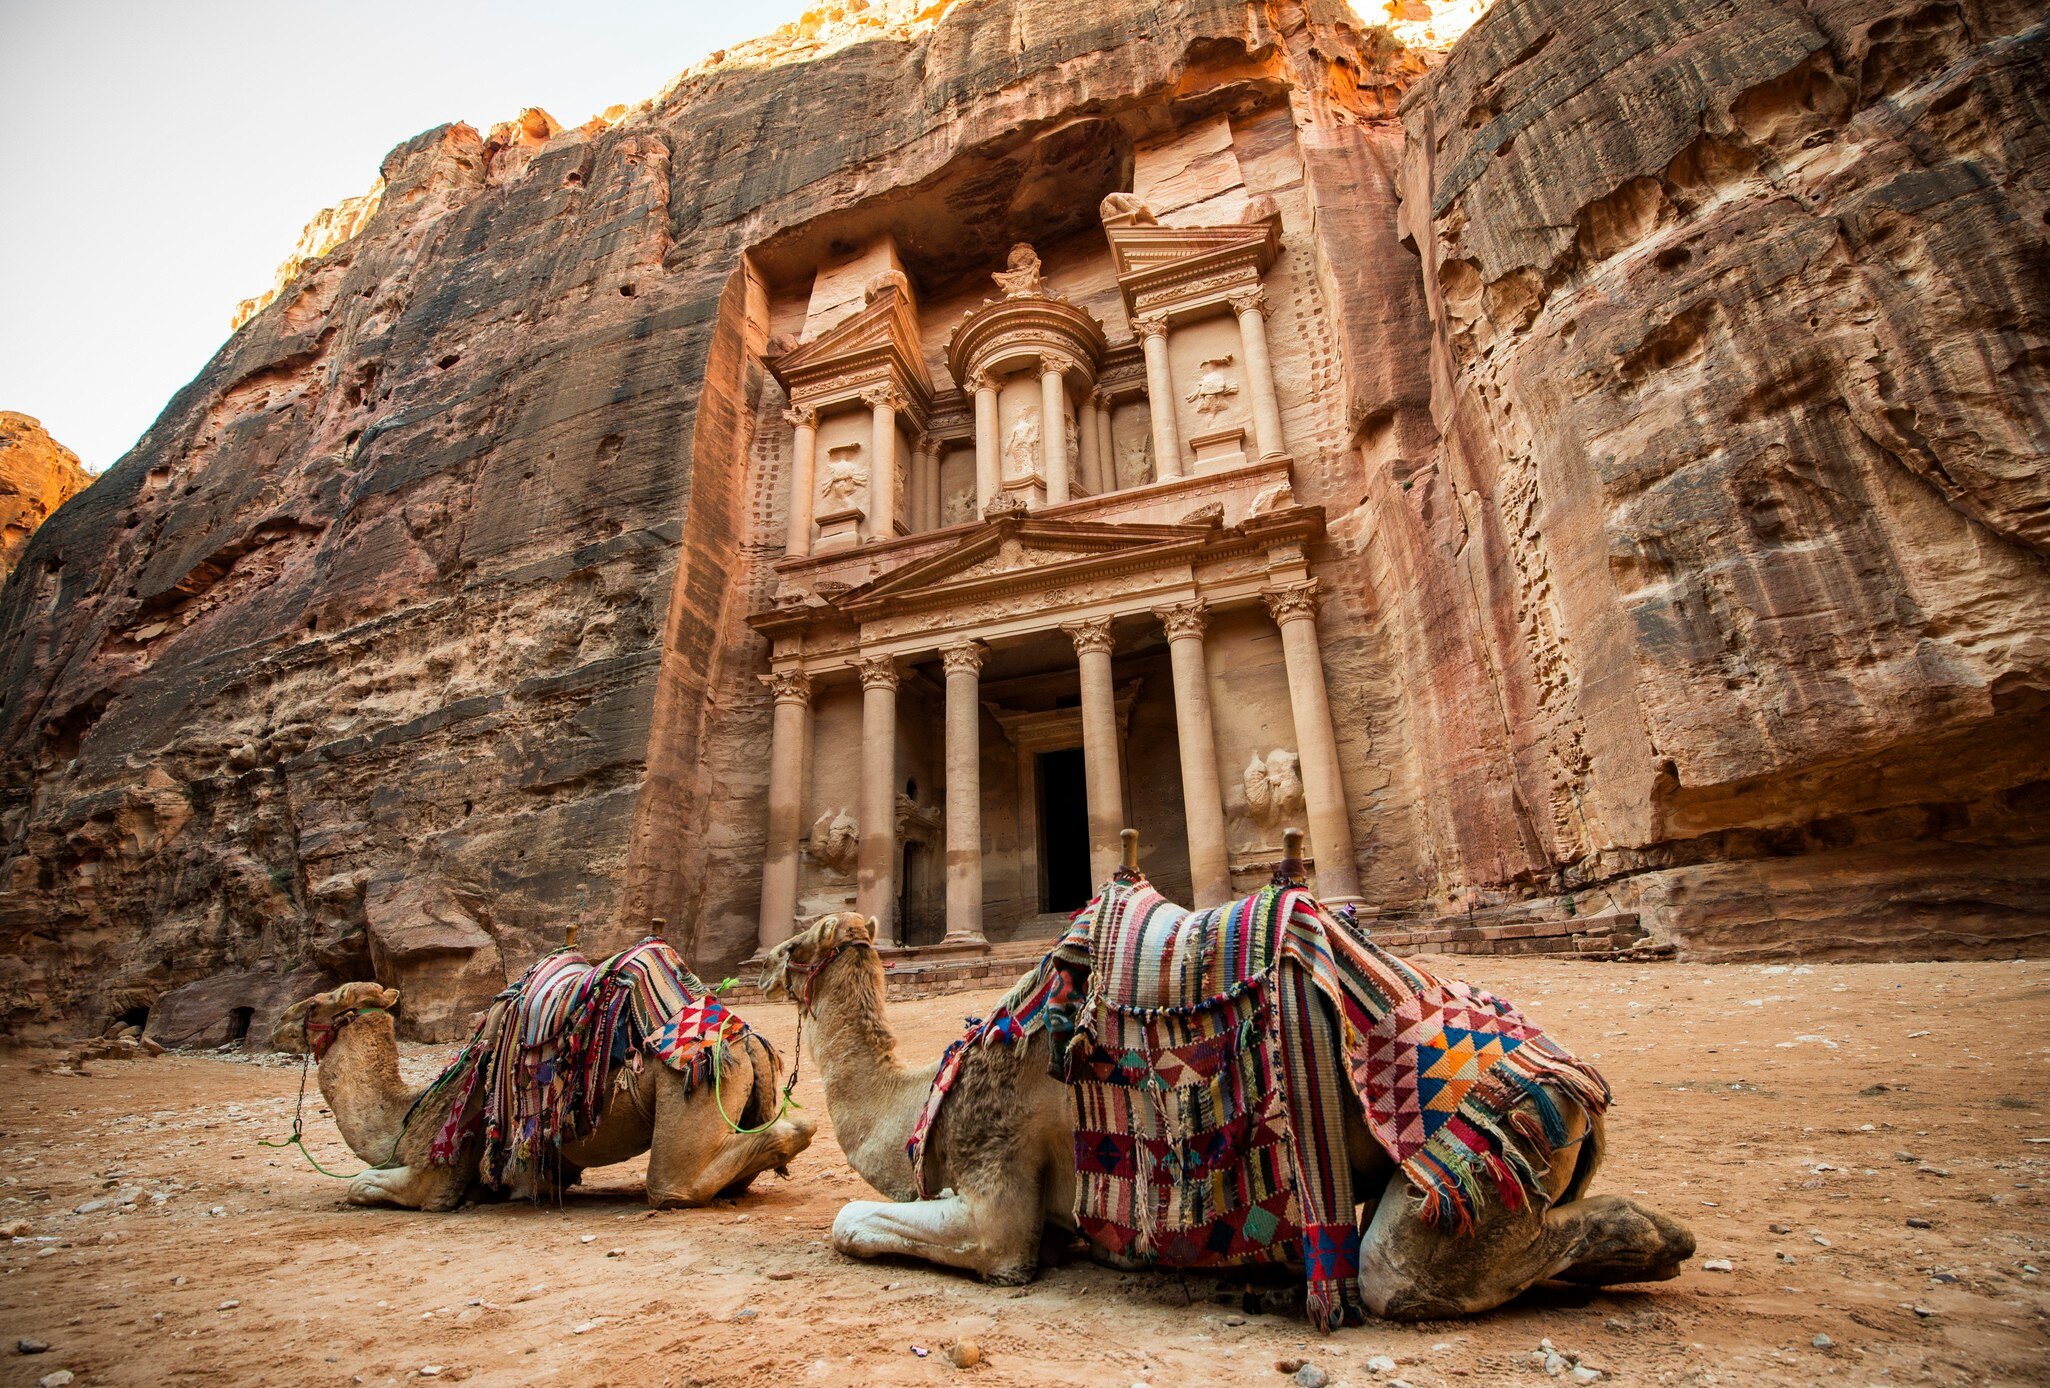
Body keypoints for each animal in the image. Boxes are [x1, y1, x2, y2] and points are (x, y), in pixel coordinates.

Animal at [271, 980, 816, 1211]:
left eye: (315, 1003)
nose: (278, 1021)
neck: (406, 1114)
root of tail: (747, 1039)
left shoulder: (437, 1173)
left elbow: (361, 1185)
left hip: (691, 1091)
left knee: (673, 1185)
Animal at [762, 901, 1695, 1321]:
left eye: (791, 947)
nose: (757, 961)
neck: (921, 1095)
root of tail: (1579, 1089)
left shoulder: (997, 1185)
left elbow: (856, 1222)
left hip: (1476, 1173)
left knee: (1401, 1273)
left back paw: (1659, 1240)